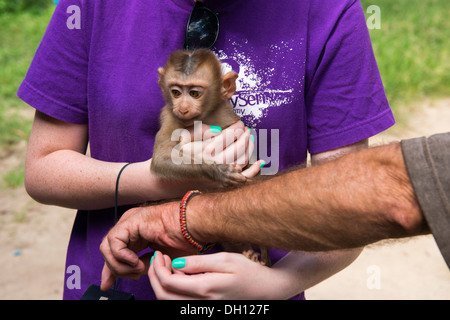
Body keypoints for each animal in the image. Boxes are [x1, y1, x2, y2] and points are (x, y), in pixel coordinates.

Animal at [151, 49, 270, 264]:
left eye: (194, 93)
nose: (182, 108)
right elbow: (161, 159)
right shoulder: (171, 118)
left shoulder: (226, 113)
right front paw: (218, 170)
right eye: (176, 92)